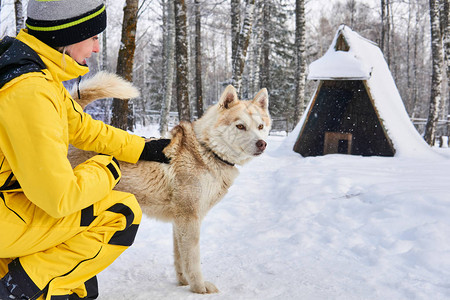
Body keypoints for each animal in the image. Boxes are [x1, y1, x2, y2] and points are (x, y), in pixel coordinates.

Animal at [67, 72, 270, 292]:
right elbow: (193, 260)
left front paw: (184, 283)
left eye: (260, 126)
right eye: (240, 126)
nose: (262, 143)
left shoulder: (180, 221)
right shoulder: (189, 218)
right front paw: (199, 288)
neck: (207, 150)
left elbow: (181, 260)